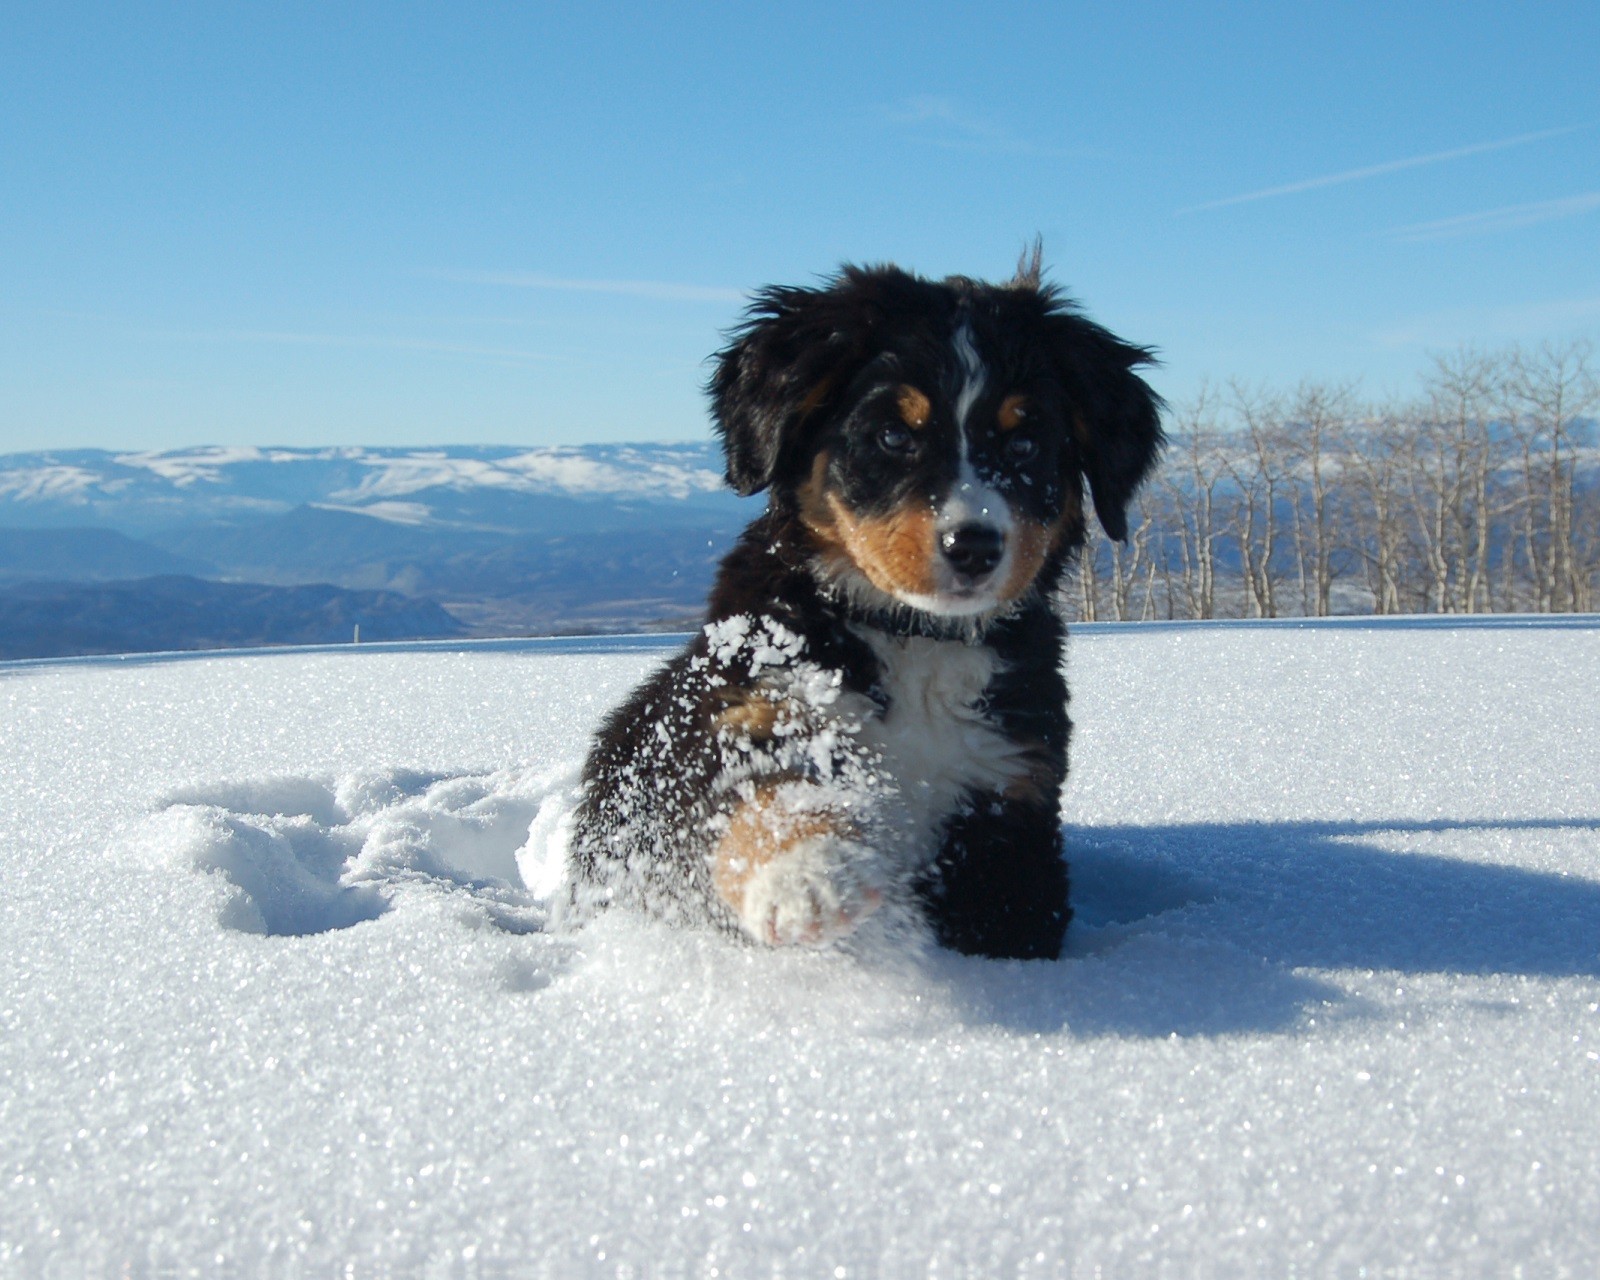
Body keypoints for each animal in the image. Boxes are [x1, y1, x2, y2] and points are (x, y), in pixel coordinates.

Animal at [566, 262, 1164, 960]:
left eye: (1025, 445)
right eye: (893, 435)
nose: (974, 545)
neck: (915, 639)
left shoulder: (1009, 797)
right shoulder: (741, 716)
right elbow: (763, 797)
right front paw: (811, 877)